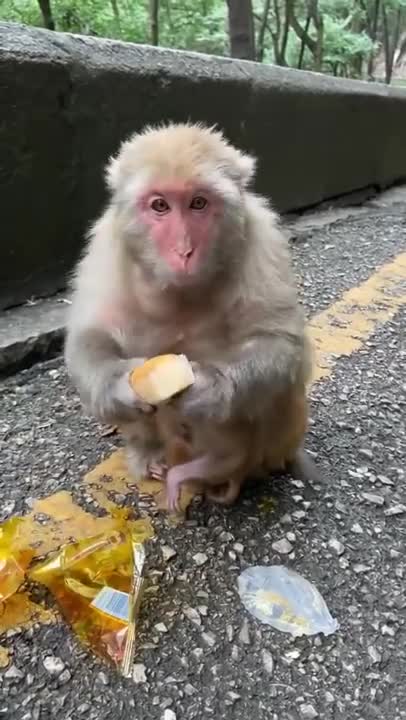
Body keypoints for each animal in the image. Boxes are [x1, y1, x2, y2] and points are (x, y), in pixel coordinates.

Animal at [64, 121, 316, 509]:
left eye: (199, 203)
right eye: (160, 205)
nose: (183, 250)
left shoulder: (262, 241)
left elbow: (280, 342)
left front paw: (211, 389)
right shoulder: (107, 246)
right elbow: (91, 333)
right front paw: (119, 385)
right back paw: (151, 453)